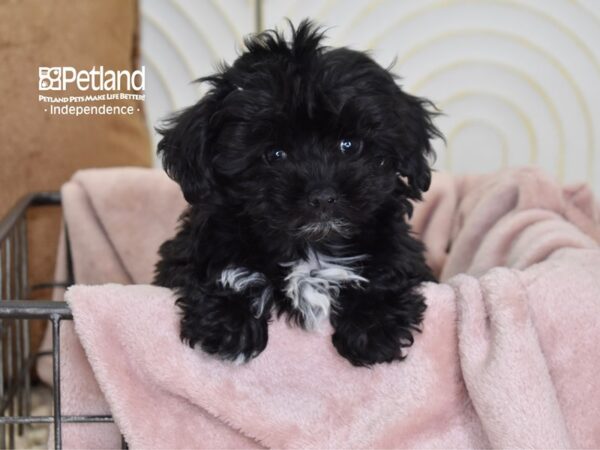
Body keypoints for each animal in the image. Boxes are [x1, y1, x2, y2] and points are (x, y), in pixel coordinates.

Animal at [152, 19, 438, 368]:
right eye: (274, 154)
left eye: (349, 145)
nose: (323, 196)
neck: (311, 248)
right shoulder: (193, 248)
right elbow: (212, 269)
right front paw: (229, 325)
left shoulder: (402, 248)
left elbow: (390, 267)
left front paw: (375, 328)